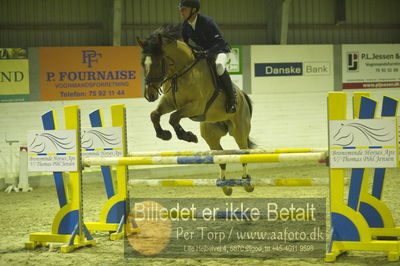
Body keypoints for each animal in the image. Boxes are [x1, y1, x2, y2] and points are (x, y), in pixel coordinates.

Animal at [137, 23, 256, 195]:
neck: (181, 72)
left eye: (158, 63)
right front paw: (164, 134)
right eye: (142, 64)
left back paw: (247, 182)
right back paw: (225, 186)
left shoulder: (196, 106)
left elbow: (173, 118)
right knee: (221, 158)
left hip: (239, 130)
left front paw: (187, 136)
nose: (150, 95)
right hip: (211, 134)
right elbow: (155, 114)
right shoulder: (170, 102)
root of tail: (242, 95)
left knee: (243, 153)